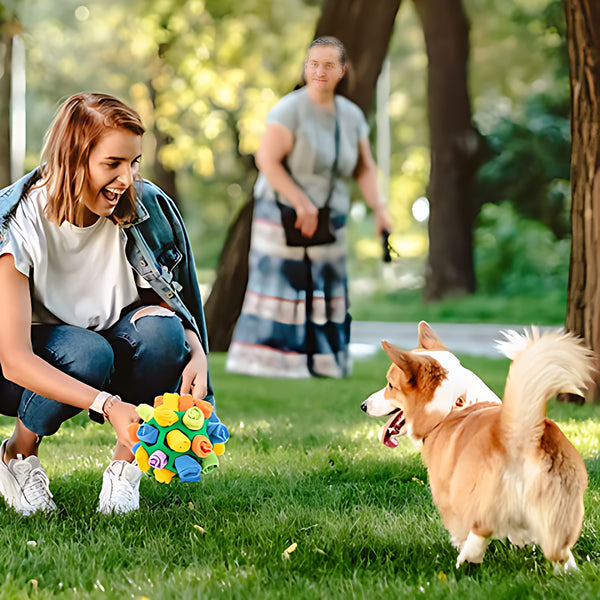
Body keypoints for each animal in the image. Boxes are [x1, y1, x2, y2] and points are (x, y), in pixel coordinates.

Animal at [360, 322, 596, 576]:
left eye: (390, 385)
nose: (363, 406)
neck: (452, 408)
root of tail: (521, 434)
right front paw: (521, 542)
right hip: (560, 509)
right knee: (559, 552)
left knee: (480, 531)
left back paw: (464, 563)